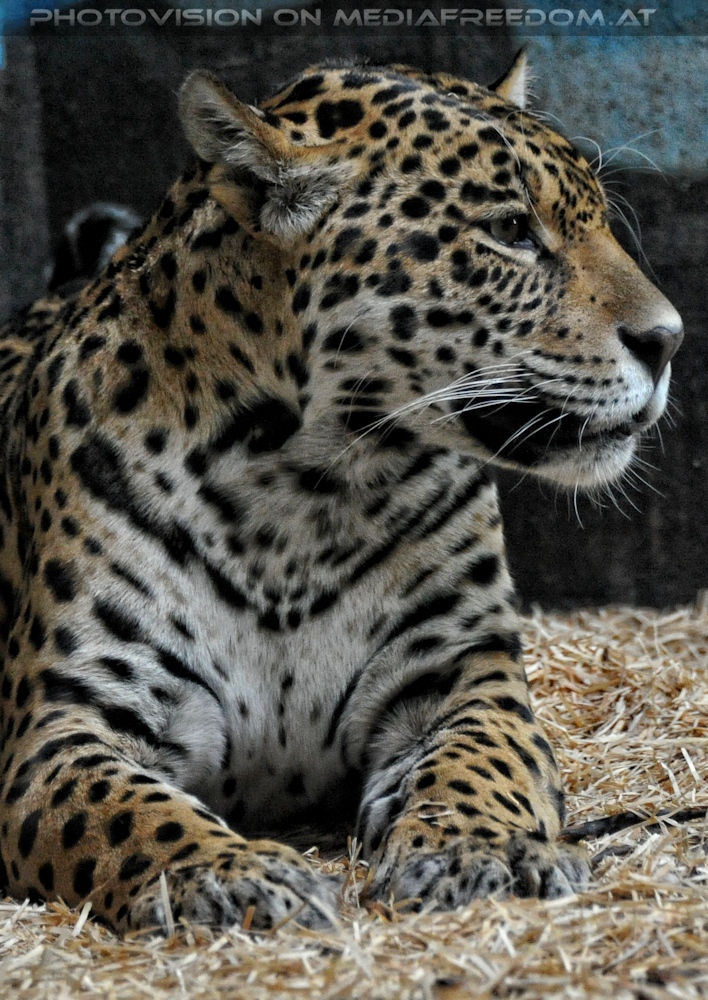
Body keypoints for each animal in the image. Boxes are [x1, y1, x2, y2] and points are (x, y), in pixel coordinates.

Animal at [0, 52, 683, 934]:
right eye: (510, 231)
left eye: (598, 218)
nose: (668, 340)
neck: (299, 493)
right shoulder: (66, 724)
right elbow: (132, 815)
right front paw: (232, 875)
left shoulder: (461, 675)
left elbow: (479, 765)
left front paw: (481, 850)